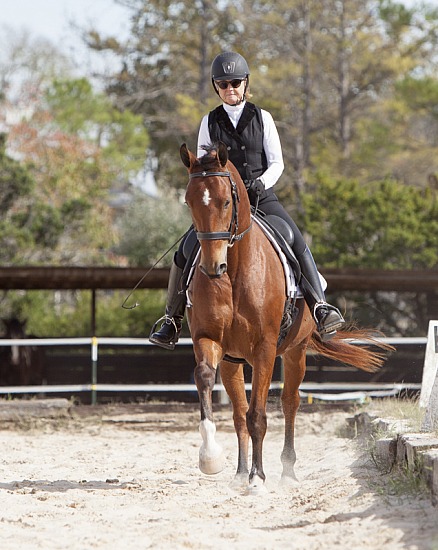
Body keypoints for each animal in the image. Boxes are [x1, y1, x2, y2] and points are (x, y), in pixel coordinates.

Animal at [180, 142, 392, 496]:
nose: (212, 267)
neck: (235, 272)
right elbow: (206, 379)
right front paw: (212, 458)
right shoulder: (209, 340)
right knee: (238, 413)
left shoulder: (265, 349)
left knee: (290, 403)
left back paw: (286, 471)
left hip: (296, 352)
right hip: (234, 361)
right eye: (189, 201)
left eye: (226, 201)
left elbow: (260, 415)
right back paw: (240, 472)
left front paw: (258, 479)